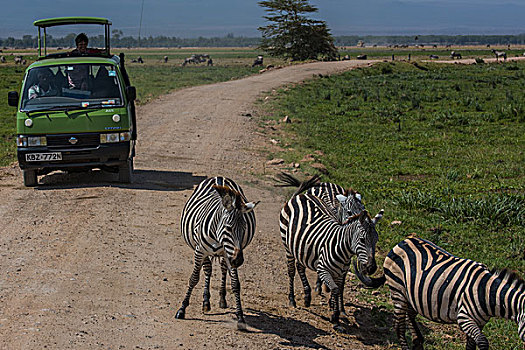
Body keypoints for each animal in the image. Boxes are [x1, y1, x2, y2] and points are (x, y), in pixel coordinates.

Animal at [176, 176, 258, 330]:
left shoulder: (229, 254)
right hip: (203, 251)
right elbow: (194, 279)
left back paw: (222, 299)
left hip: (224, 256)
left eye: (244, 228)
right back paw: (206, 302)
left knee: (223, 269)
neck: (218, 237)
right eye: (228, 228)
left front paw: (240, 317)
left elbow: (235, 284)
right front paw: (182, 309)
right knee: (208, 269)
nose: (238, 261)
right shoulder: (199, 251)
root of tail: (220, 178)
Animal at [280, 191, 382, 326]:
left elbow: (339, 289)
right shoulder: (323, 270)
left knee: (300, 267)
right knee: (291, 271)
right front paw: (335, 315)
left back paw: (307, 297)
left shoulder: (341, 272)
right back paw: (292, 300)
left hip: (301, 248)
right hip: (287, 246)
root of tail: (302, 195)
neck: (342, 248)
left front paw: (338, 310)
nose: (371, 268)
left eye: (376, 240)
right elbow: (334, 289)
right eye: (362, 240)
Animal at [380, 237, 524, 348]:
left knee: (410, 315)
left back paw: (418, 342)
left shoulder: (479, 322)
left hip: (413, 295)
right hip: (398, 290)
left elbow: (471, 345)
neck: (487, 292)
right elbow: (483, 342)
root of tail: (404, 241)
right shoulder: (465, 317)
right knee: (399, 327)